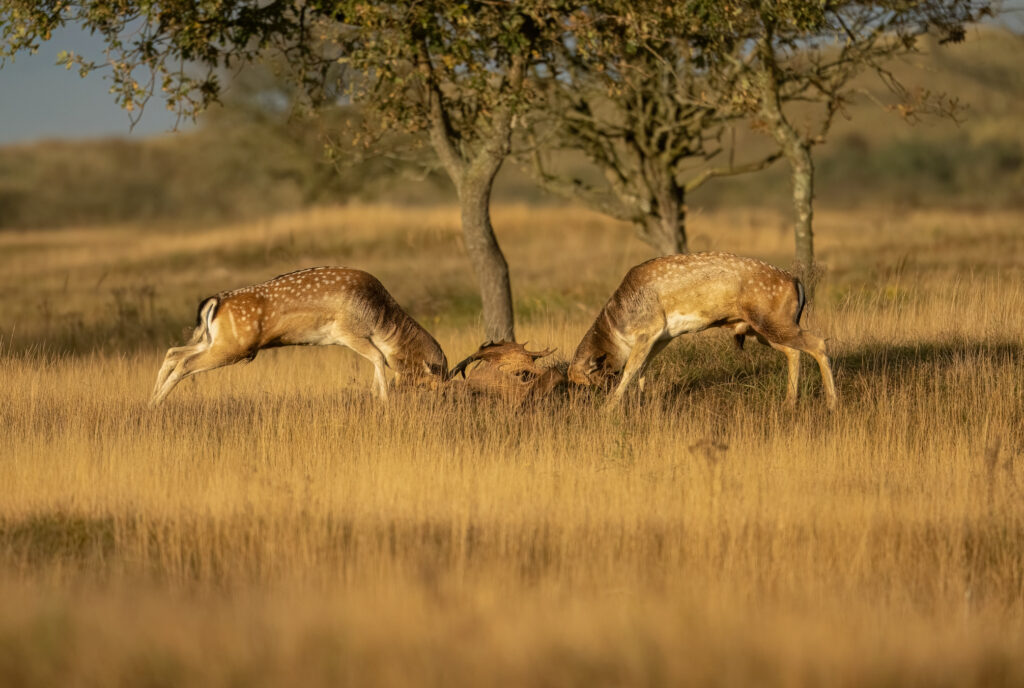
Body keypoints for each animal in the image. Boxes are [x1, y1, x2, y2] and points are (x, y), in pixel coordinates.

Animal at [149, 264, 448, 403]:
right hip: (232, 347)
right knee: (185, 362)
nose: (440, 400)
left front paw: (375, 395)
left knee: (173, 352)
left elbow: (378, 359)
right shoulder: (346, 331)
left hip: (214, 340)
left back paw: (150, 401)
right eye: (429, 382)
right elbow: (378, 357)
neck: (380, 319)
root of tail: (215, 301)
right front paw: (383, 400)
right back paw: (157, 403)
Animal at [569, 254, 839, 411]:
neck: (620, 327)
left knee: (818, 343)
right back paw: (789, 403)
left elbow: (631, 369)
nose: (583, 404)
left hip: (772, 321)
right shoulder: (662, 336)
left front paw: (608, 409)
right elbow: (644, 368)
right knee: (794, 351)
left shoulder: (649, 328)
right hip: (763, 329)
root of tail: (797, 283)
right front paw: (642, 400)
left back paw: (832, 403)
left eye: (589, 381)